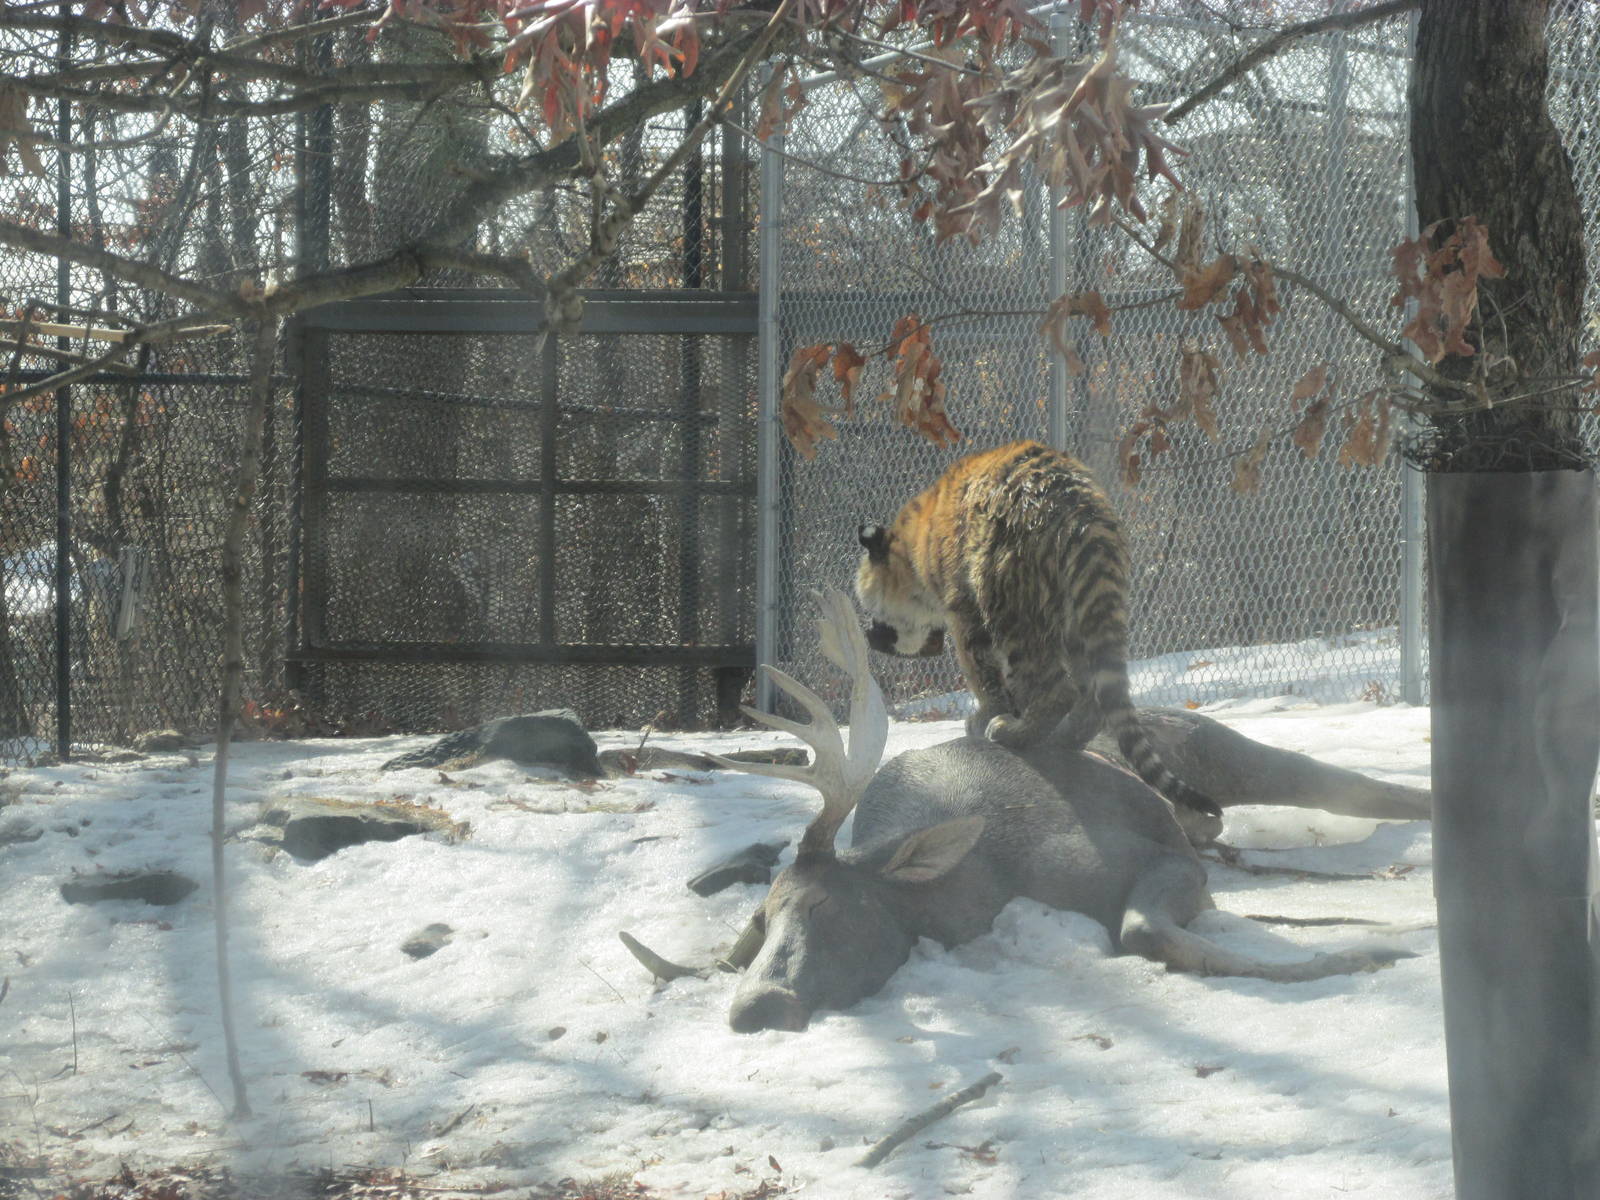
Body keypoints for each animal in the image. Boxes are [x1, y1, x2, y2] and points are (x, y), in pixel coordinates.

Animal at [624, 589, 1418, 1034]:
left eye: (827, 906)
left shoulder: (1157, 859)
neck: (977, 888)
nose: (756, 1008)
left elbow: (1142, 927)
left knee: (1366, 787)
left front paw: (1369, 953)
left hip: (1220, 748)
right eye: (760, 922)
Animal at [855, 439, 1221, 819]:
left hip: (1010, 608)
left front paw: (983, 718)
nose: (869, 633)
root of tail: (1082, 510)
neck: (915, 551)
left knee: (1058, 689)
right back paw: (1062, 738)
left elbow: (982, 674)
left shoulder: (964, 612)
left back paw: (1010, 732)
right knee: (1092, 696)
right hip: (1081, 618)